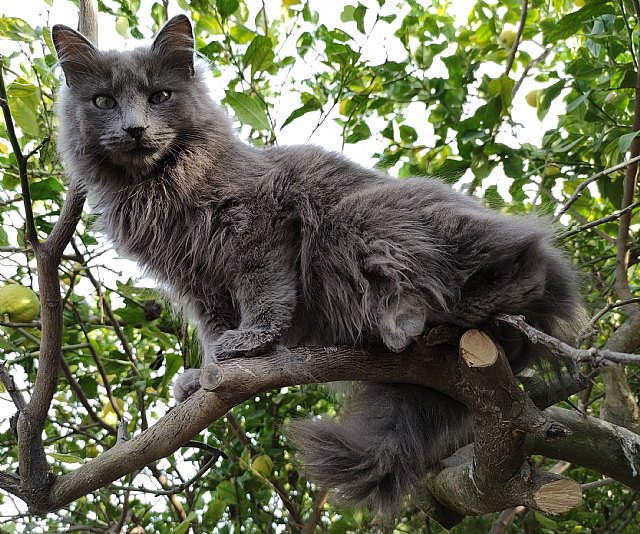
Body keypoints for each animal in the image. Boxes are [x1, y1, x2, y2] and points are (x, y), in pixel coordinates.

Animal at [53, 16, 584, 516]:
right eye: (103, 101)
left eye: (160, 96)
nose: (135, 128)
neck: (164, 186)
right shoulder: (197, 281)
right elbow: (213, 328)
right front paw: (207, 372)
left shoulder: (261, 228)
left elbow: (265, 296)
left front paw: (248, 342)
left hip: (359, 220)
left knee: (528, 261)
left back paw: (415, 319)